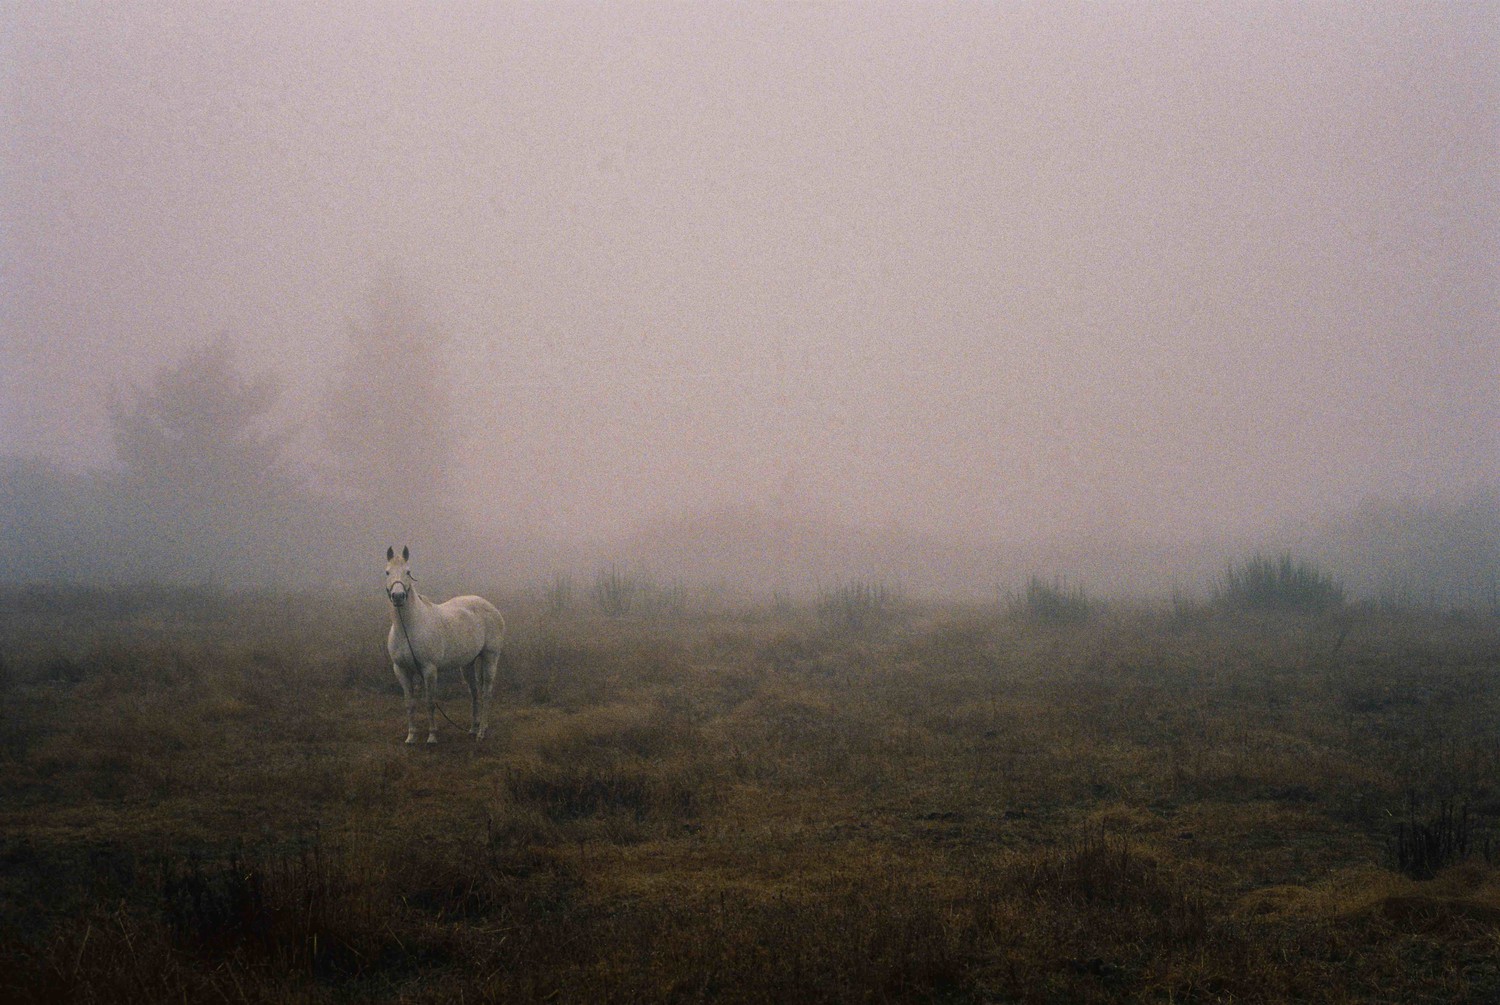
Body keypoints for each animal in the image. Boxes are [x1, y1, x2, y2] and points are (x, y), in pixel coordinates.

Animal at [384, 546, 506, 744]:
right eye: (387, 572)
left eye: (408, 572)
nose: (398, 596)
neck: (409, 628)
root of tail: (491, 607)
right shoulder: (401, 670)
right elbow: (409, 704)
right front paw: (411, 736)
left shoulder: (429, 670)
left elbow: (430, 703)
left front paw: (432, 736)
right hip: (467, 664)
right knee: (474, 693)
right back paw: (474, 728)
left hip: (490, 657)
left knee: (486, 692)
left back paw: (481, 732)